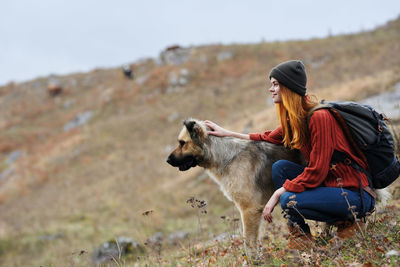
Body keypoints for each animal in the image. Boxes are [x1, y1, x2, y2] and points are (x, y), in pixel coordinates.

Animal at [166, 119, 304, 255]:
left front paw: (253, 259)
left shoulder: (249, 209)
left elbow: (248, 242)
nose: (167, 160)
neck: (226, 157)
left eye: (182, 143)